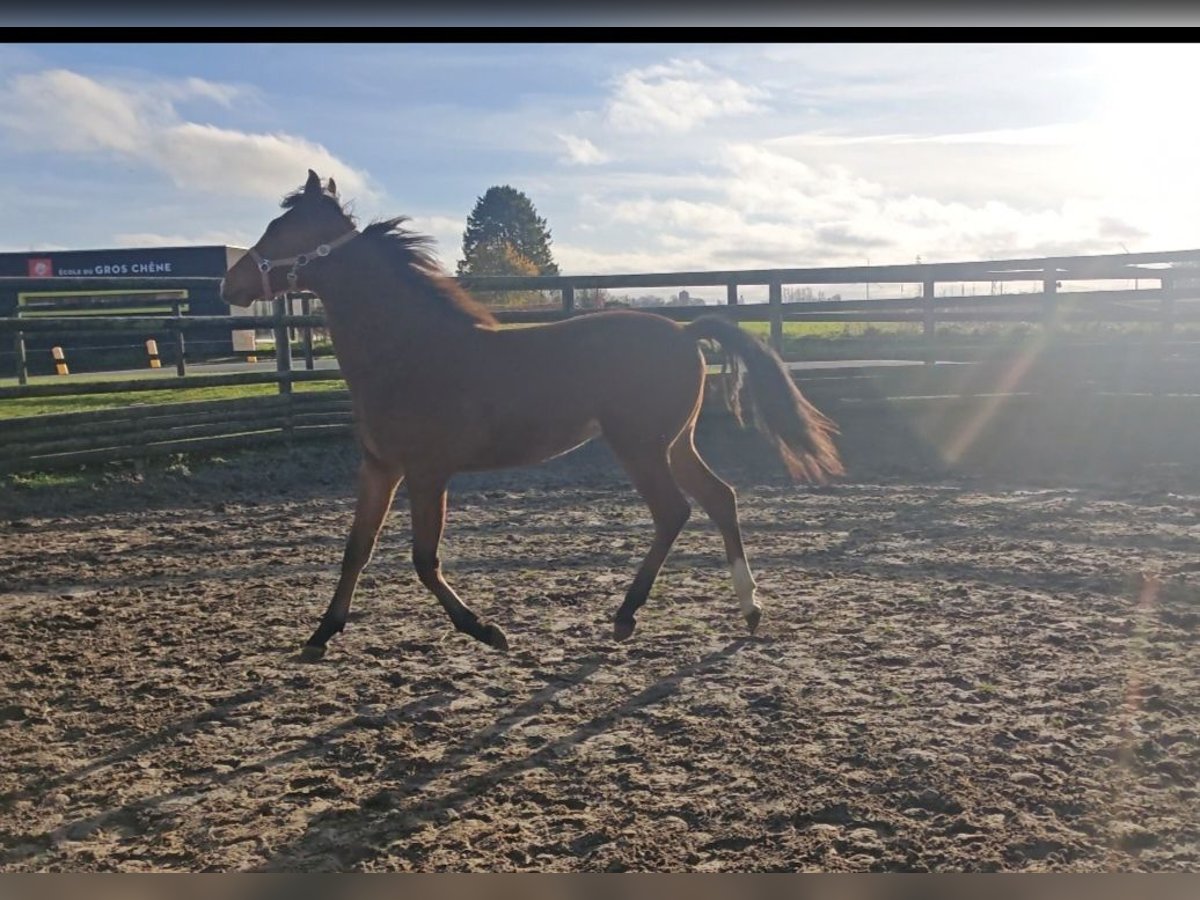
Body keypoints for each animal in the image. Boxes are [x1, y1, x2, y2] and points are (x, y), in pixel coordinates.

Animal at [221, 170, 844, 659]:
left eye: (282, 230)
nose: (230, 282)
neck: (407, 350)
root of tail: (684, 330)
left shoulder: (427, 472)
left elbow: (424, 559)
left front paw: (486, 630)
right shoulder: (379, 468)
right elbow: (357, 550)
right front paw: (320, 635)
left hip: (640, 446)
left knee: (675, 512)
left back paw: (626, 617)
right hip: (675, 442)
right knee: (720, 499)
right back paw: (750, 609)